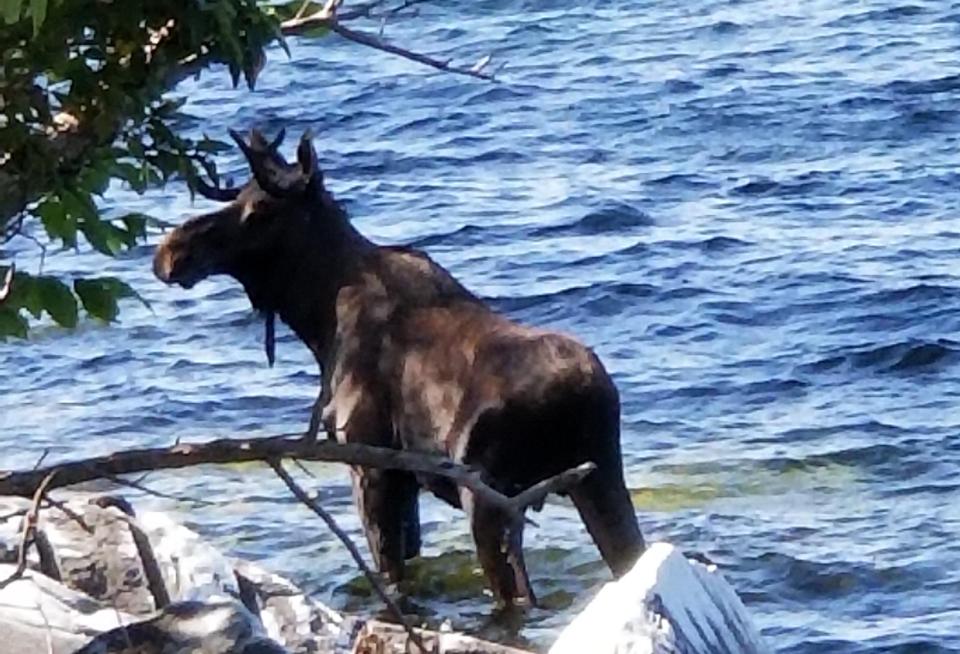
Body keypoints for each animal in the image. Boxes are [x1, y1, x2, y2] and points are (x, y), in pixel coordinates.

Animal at [152, 129, 644, 608]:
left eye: (259, 211)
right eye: (236, 199)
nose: (171, 252)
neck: (317, 315)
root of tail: (576, 394)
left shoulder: (371, 468)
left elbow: (390, 574)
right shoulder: (403, 482)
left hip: (491, 501)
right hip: (600, 479)